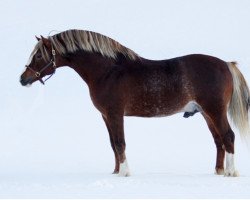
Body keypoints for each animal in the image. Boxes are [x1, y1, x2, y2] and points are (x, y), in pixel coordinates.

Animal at [20, 29, 250, 177]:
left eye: (39, 55)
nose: (23, 79)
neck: (108, 71)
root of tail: (226, 64)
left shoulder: (115, 114)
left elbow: (120, 142)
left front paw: (125, 172)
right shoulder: (106, 116)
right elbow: (113, 144)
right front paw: (115, 172)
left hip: (215, 111)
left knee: (228, 136)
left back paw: (231, 172)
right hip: (206, 113)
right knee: (219, 140)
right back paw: (218, 171)